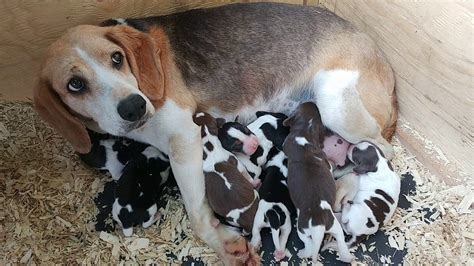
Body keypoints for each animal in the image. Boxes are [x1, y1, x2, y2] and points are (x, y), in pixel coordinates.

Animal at [282, 102, 352, 262]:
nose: (312, 102)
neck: (305, 131)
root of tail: (319, 224)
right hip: (334, 225)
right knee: (340, 239)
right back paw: (347, 256)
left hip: (301, 229)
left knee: (308, 245)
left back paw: (303, 253)